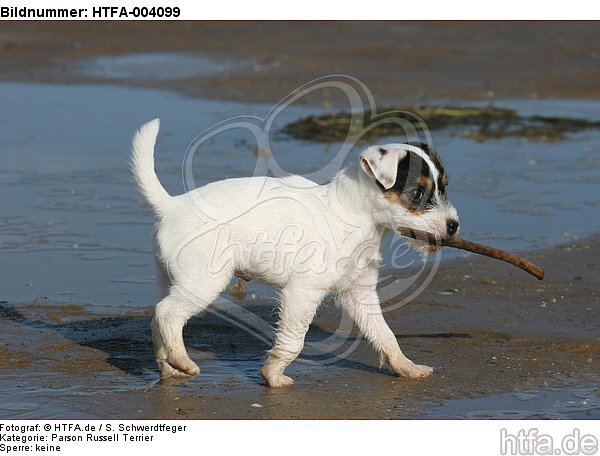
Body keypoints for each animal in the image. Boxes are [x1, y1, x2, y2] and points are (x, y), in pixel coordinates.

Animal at [131, 119, 460, 386]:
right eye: (417, 194)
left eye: (443, 187)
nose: (454, 225)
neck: (354, 213)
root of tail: (172, 205)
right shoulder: (302, 292)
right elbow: (294, 340)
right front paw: (273, 375)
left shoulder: (359, 293)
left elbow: (385, 334)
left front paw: (406, 367)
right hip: (204, 281)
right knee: (168, 314)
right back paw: (182, 361)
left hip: (174, 279)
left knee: (158, 317)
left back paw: (168, 368)